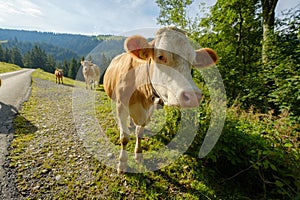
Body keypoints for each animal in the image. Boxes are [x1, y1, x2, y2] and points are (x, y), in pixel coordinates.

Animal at [103, 26, 218, 173]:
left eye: (192, 62)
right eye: (161, 56)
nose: (193, 95)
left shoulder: (149, 109)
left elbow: (139, 132)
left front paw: (138, 154)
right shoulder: (121, 105)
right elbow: (124, 137)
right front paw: (122, 163)